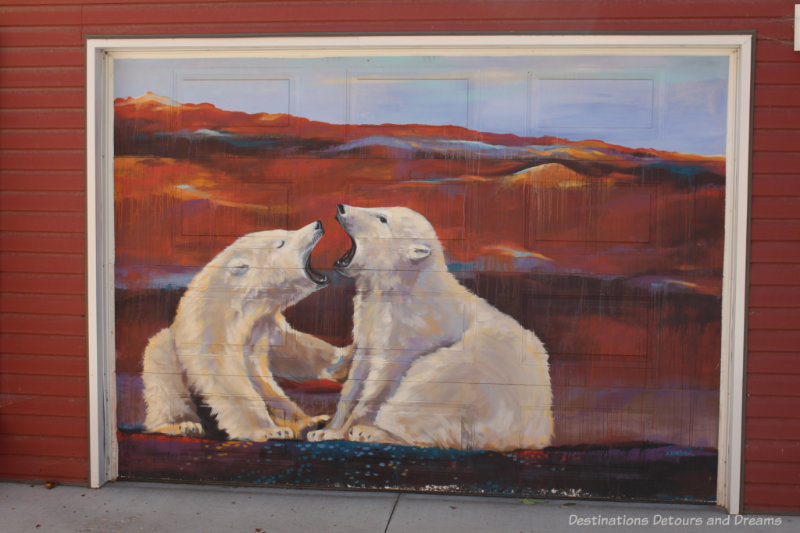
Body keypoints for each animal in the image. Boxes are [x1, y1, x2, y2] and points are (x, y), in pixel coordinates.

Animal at [140, 220, 350, 440]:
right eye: (281, 242)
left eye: (286, 231)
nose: (318, 224)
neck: (241, 303)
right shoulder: (213, 327)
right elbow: (225, 375)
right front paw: (268, 430)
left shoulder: (263, 323)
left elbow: (290, 349)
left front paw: (346, 358)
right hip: (167, 352)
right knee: (166, 382)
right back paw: (182, 425)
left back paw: (312, 421)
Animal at [308, 204, 556, 448]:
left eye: (382, 218)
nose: (341, 208)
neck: (402, 286)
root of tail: (538, 435)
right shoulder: (369, 321)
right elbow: (357, 374)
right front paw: (326, 430)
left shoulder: (411, 330)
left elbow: (381, 380)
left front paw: (343, 430)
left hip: (474, 381)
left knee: (426, 390)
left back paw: (371, 432)